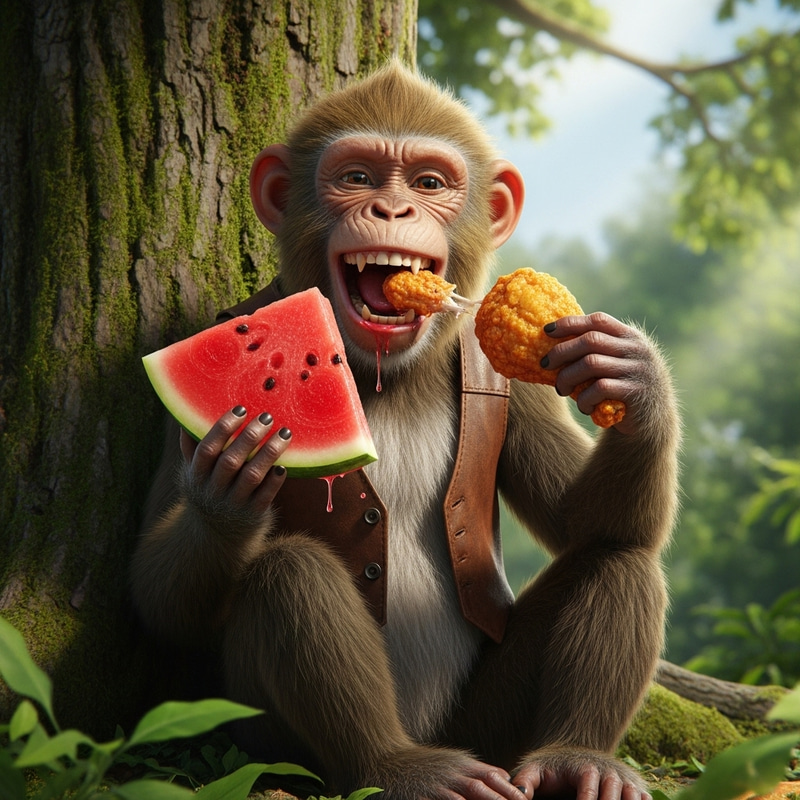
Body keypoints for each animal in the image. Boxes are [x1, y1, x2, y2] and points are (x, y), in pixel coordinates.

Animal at [131, 61, 680, 800]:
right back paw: (398, 767)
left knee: (619, 554)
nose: (392, 210)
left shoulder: (518, 390)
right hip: (276, 746)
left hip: (490, 731)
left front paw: (635, 382)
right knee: (289, 571)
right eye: (358, 176)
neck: (382, 372)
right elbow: (156, 599)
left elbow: (582, 521)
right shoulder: (182, 402)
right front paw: (223, 496)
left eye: (428, 184)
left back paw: (578, 756)